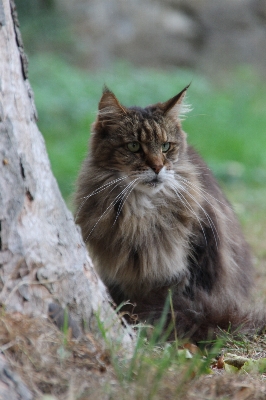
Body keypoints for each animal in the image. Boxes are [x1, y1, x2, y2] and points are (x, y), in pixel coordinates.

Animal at [74, 86, 264, 342]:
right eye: (134, 146)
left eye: (166, 146)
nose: (157, 167)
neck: (143, 211)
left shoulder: (196, 255)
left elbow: (178, 301)